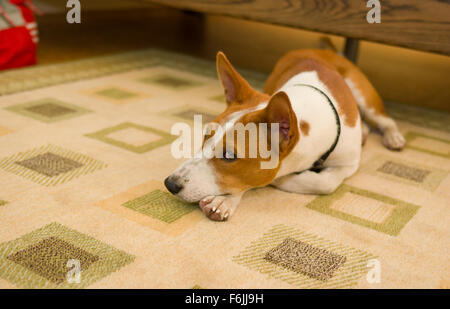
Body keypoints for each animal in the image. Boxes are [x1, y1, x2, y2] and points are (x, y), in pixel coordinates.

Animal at [164, 48, 404, 220]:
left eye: (229, 156)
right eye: (206, 136)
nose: (170, 183)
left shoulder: (349, 163)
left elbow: (324, 183)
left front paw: (280, 180)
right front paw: (226, 201)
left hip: (363, 94)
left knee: (385, 120)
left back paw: (393, 137)